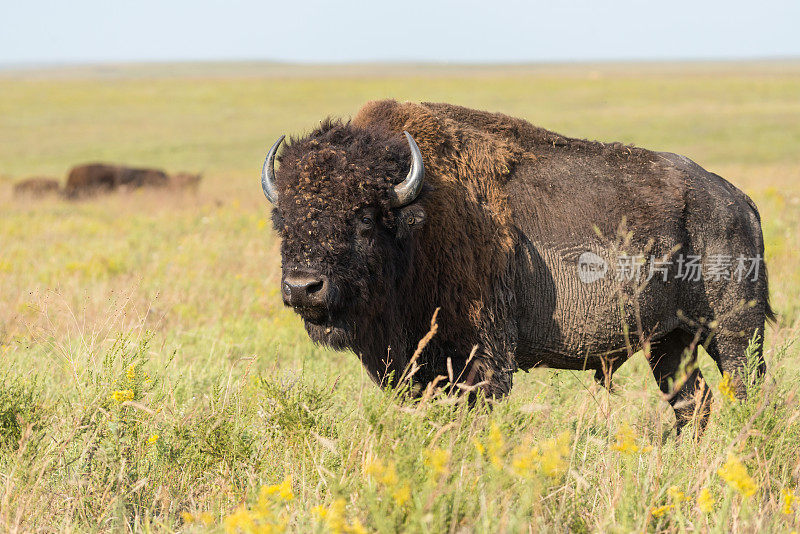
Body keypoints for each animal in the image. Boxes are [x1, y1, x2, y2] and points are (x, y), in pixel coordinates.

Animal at [260, 100, 772, 436]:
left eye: (365, 217)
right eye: (284, 219)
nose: (304, 287)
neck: (418, 219)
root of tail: (738, 201)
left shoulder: (482, 360)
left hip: (734, 333)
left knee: (743, 389)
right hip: (670, 341)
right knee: (693, 401)